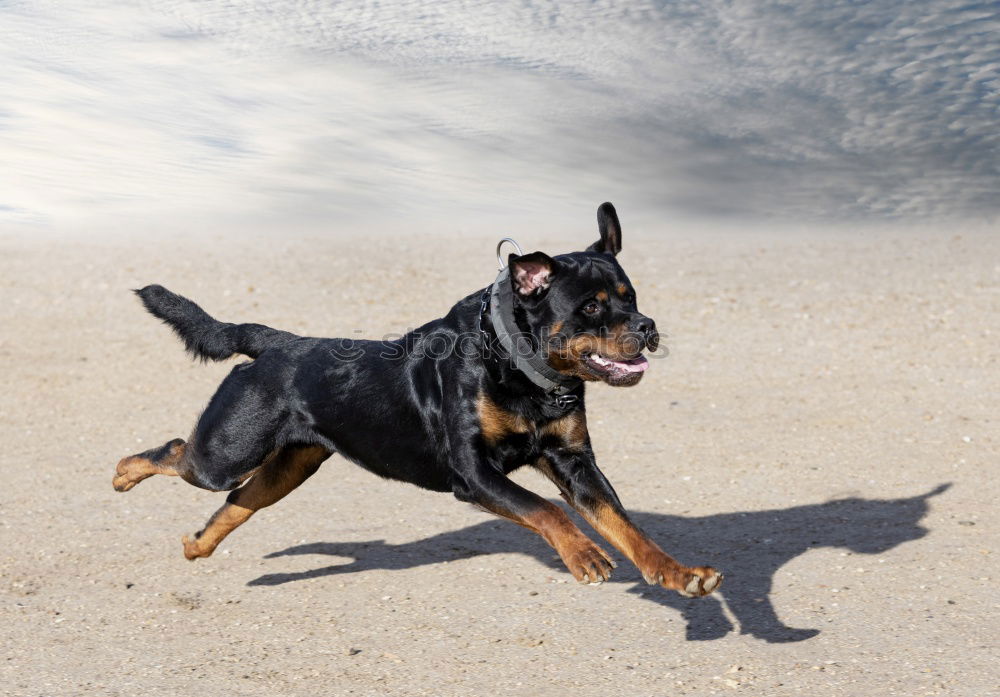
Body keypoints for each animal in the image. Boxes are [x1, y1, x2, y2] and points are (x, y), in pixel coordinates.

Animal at [113, 203, 724, 600]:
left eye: (631, 297)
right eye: (592, 307)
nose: (647, 327)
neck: (523, 373)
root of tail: (277, 342)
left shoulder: (574, 463)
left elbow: (626, 525)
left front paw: (678, 574)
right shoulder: (473, 473)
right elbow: (545, 509)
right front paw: (585, 555)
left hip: (290, 466)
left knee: (238, 501)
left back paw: (197, 545)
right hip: (230, 449)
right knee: (180, 453)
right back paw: (123, 473)